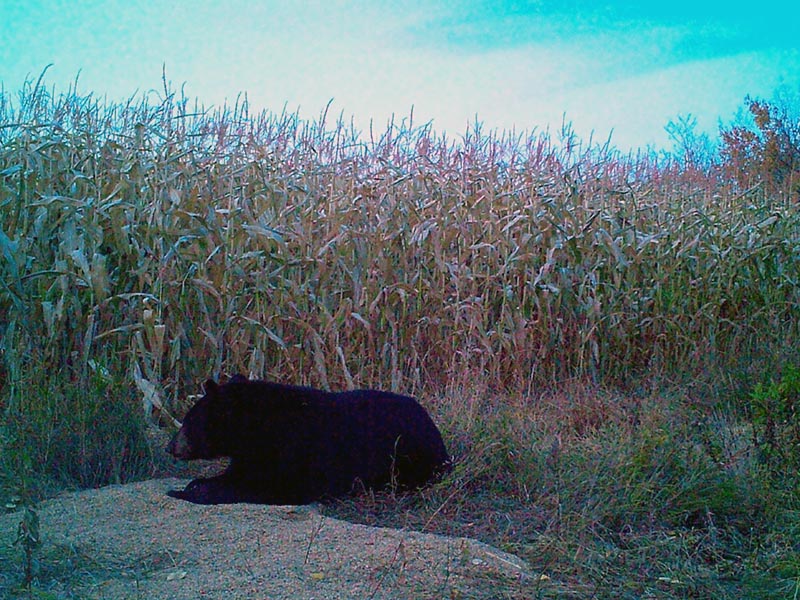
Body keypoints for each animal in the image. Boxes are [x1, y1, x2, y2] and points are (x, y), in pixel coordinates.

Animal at [166, 378, 450, 504]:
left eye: (188, 421)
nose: (170, 447)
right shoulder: (251, 454)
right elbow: (237, 474)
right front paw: (196, 482)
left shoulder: (296, 450)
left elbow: (273, 487)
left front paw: (186, 491)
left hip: (409, 456)